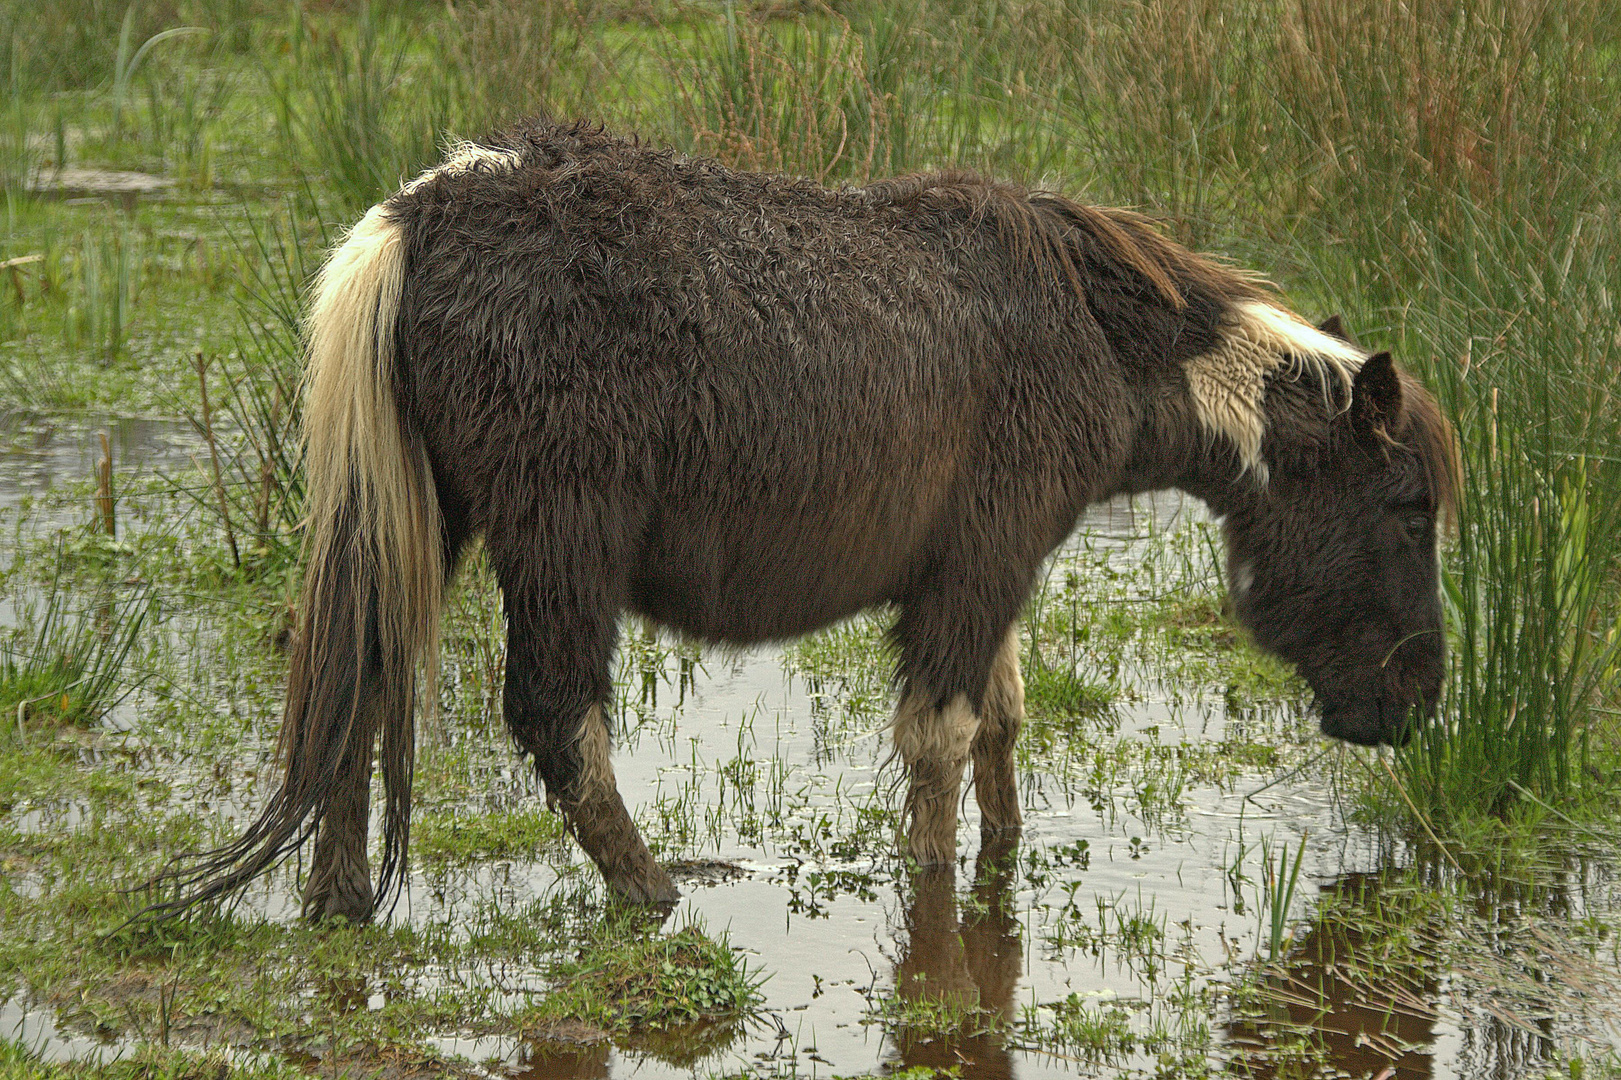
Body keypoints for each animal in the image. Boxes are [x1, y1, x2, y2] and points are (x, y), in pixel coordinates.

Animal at [154, 120, 1458, 914]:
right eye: (1407, 512)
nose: (1414, 703)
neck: (1092, 332)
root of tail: (422, 214)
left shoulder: (986, 569)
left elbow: (1000, 726)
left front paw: (1004, 867)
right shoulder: (982, 563)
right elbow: (942, 741)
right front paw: (941, 903)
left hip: (426, 521)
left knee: (357, 680)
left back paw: (337, 902)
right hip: (561, 543)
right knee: (553, 717)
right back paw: (653, 894)